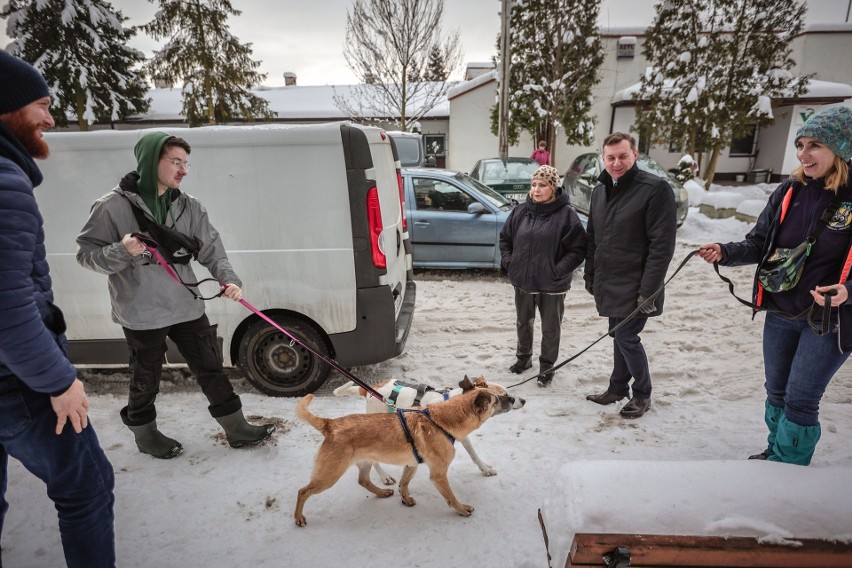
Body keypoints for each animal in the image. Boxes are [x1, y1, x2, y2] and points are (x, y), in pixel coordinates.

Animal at [292, 386, 520, 528]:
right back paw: (298, 517)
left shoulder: (412, 464)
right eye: (496, 399)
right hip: (329, 475)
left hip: (362, 464)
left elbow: (404, 484)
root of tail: (330, 424)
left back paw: (382, 492)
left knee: (363, 480)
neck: (441, 420)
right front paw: (461, 509)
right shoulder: (438, 474)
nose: (514, 399)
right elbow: (451, 497)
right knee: (303, 491)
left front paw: (405, 498)